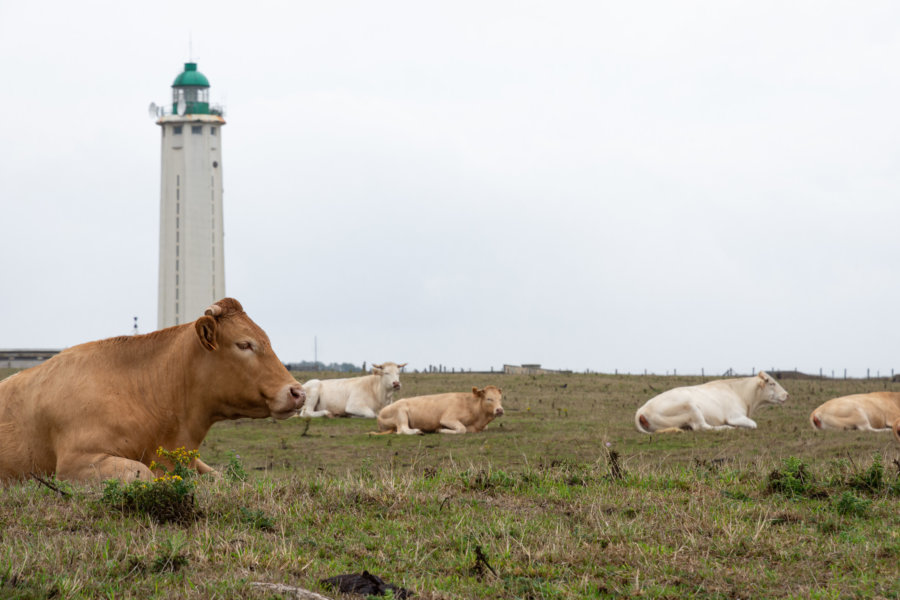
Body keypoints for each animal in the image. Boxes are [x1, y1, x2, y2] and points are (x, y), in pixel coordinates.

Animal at [370, 386, 502, 434]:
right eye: (489, 399)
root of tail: (380, 414)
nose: (499, 410)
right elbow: (462, 429)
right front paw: (440, 430)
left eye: (500, 398)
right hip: (401, 412)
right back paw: (418, 431)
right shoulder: (447, 418)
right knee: (402, 429)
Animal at [632, 370, 788, 432]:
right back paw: (727, 428)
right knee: (702, 427)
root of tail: (642, 409)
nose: (786, 394)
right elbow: (753, 424)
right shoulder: (734, 416)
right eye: (772, 383)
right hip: (691, 407)